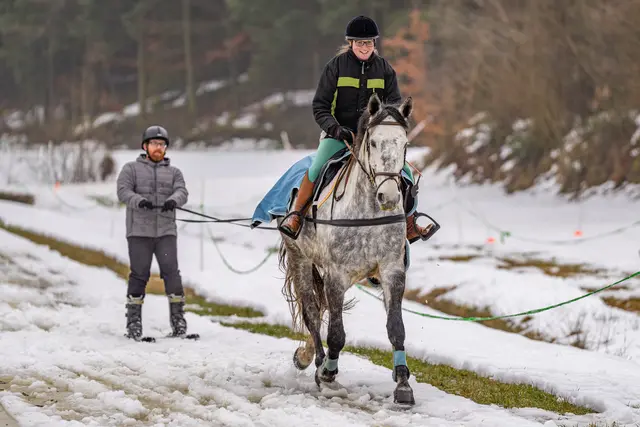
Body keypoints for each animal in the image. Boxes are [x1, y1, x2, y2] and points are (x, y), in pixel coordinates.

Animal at [277, 93, 417, 405]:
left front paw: (403, 385)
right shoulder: (336, 276)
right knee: (313, 313)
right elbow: (336, 334)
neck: (368, 213)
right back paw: (316, 362)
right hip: (300, 259)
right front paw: (328, 376)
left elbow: (396, 328)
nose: (389, 196)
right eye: (373, 142)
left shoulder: (392, 271)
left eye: (404, 143)